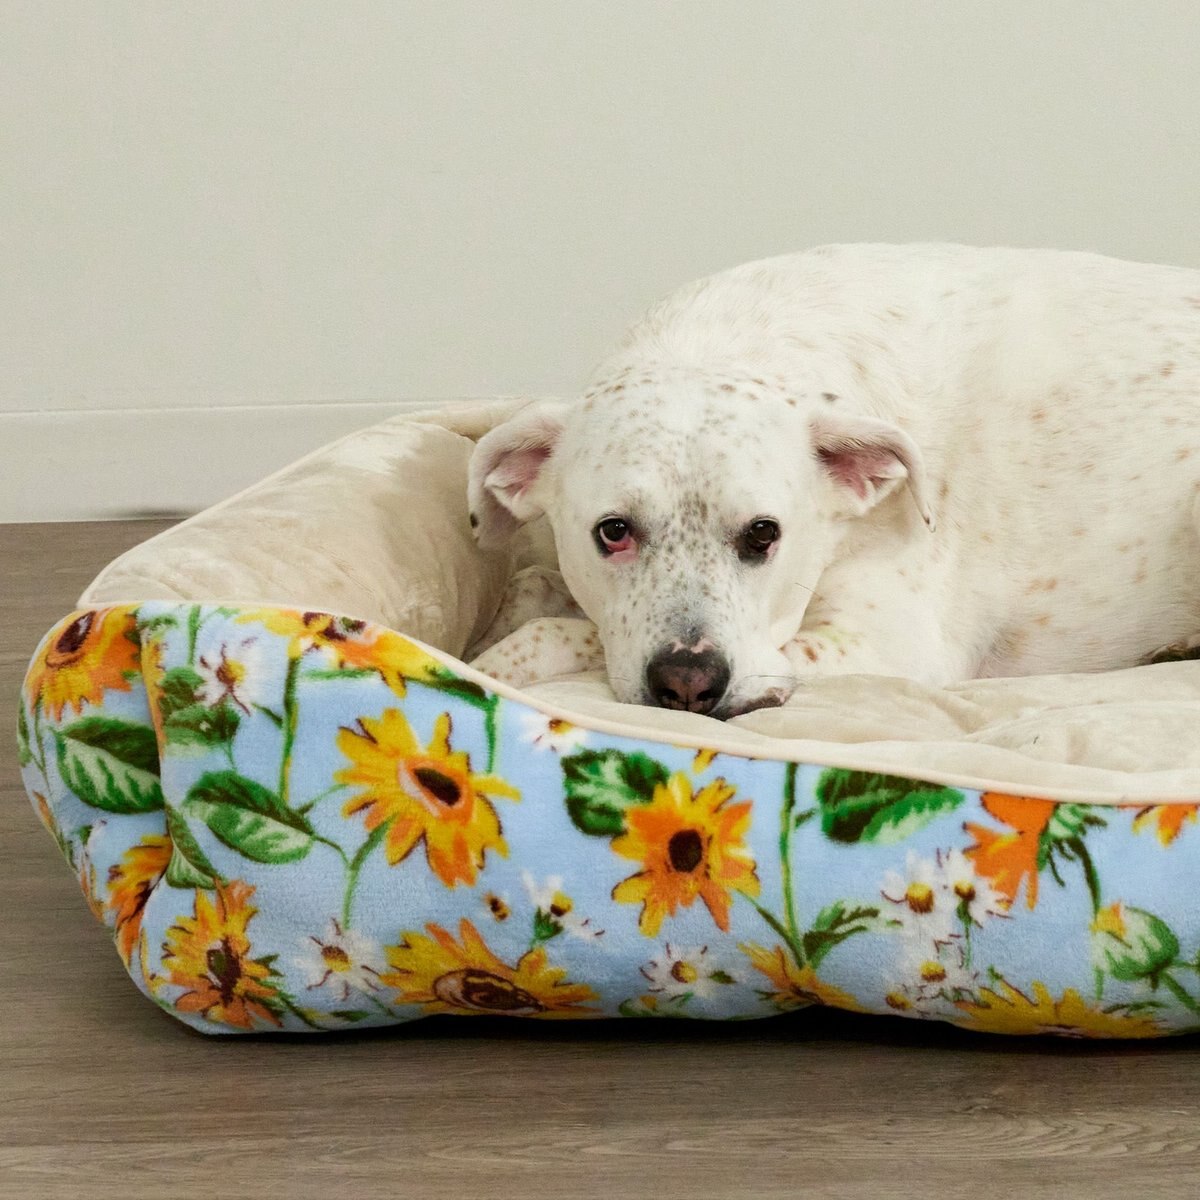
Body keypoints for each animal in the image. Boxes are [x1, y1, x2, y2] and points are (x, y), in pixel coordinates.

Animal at [465, 241, 1200, 710]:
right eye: (612, 532)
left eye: (765, 534)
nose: (688, 684)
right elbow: (535, 588)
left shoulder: (885, 645)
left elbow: (563, 632)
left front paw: (494, 666)